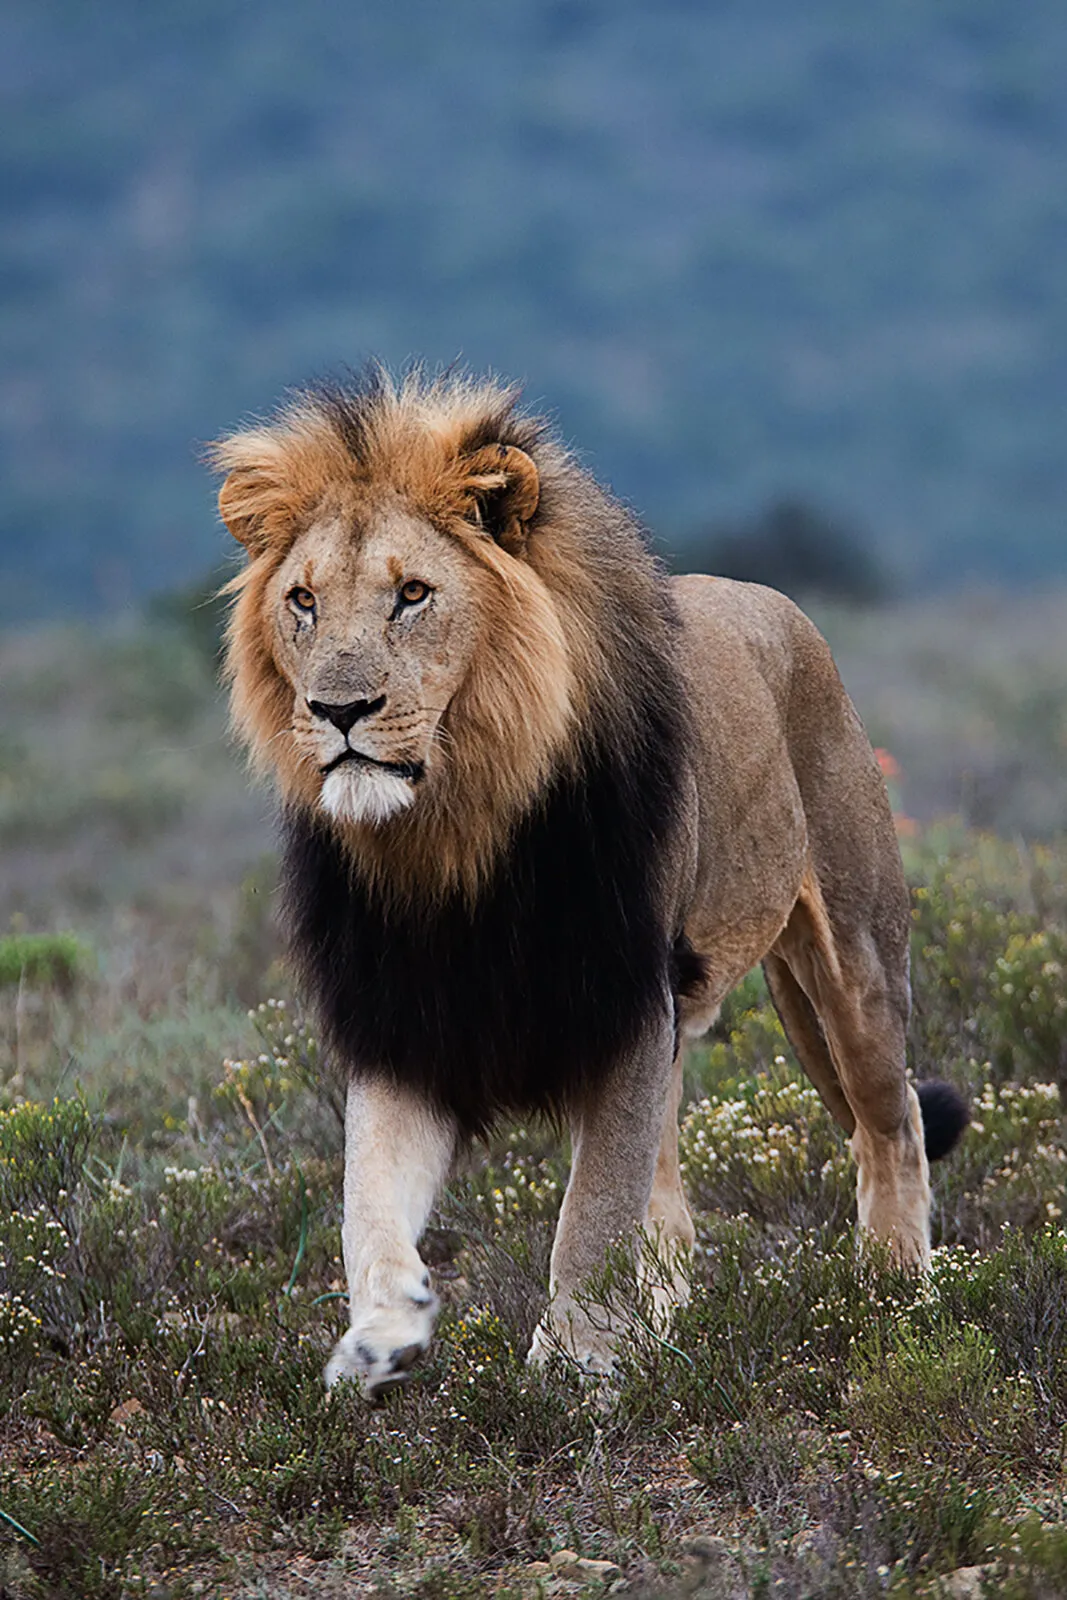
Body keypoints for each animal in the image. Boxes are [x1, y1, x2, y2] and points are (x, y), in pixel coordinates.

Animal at [211, 367, 967, 1398]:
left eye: (412, 594)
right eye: (301, 601)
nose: (337, 709)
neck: (454, 832)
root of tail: (772, 603)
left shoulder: (624, 999)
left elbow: (592, 1213)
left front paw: (573, 1366)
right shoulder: (403, 1019)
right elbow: (365, 1198)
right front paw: (381, 1333)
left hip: (851, 956)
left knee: (889, 1125)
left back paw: (895, 1293)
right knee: (676, 1184)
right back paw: (669, 1318)